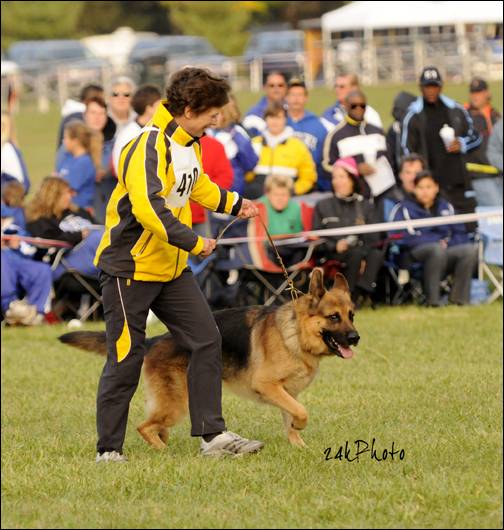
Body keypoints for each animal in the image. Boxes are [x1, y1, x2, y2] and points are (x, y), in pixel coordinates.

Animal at [59, 268, 358, 446]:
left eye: (351, 315)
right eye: (334, 317)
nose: (356, 338)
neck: (295, 333)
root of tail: (155, 340)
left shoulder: (288, 393)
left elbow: (292, 418)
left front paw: (299, 446)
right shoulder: (268, 386)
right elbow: (301, 412)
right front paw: (299, 427)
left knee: (155, 427)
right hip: (176, 404)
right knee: (144, 427)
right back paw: (164, 452)